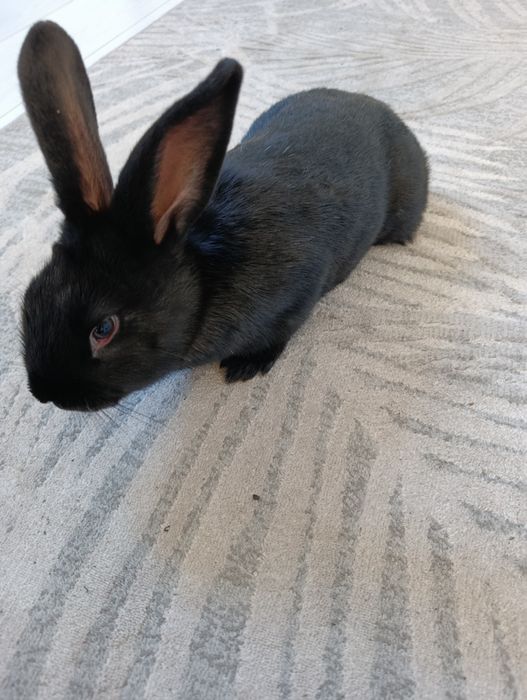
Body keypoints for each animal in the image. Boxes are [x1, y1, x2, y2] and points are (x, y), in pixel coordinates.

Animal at [18, 21, 428, 411]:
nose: (45, 392)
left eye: (104, 328)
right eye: (32, 292)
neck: (202, 280)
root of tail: (385, 111)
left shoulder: (300, 291)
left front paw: (244, 367)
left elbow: (284, 329)